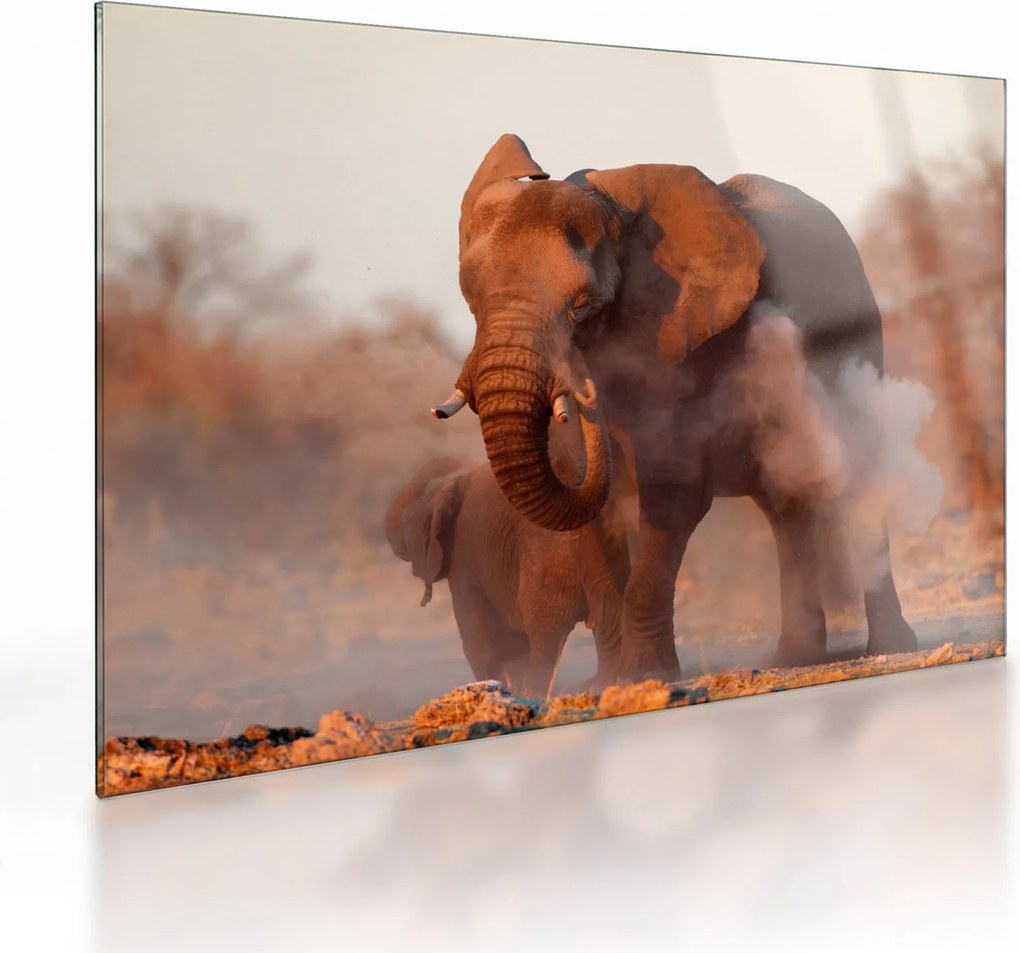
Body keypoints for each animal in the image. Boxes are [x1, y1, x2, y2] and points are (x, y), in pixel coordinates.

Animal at [385, 399, 636, 697]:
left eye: (408, 530)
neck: (447, 490)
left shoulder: (464, 559)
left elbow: (481, 641)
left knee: (544, 634)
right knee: (609, 618)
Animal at [430, 133, 919, 683]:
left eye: (581, 306)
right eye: (471, 297)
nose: (584, 390)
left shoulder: (683, 339)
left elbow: (672, 496)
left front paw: (646, 677)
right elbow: (596, 511)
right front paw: (610, 684)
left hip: (857, 342)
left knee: (859, 479)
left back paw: (891, 648)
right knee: (784, 504)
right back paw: (795, 659)